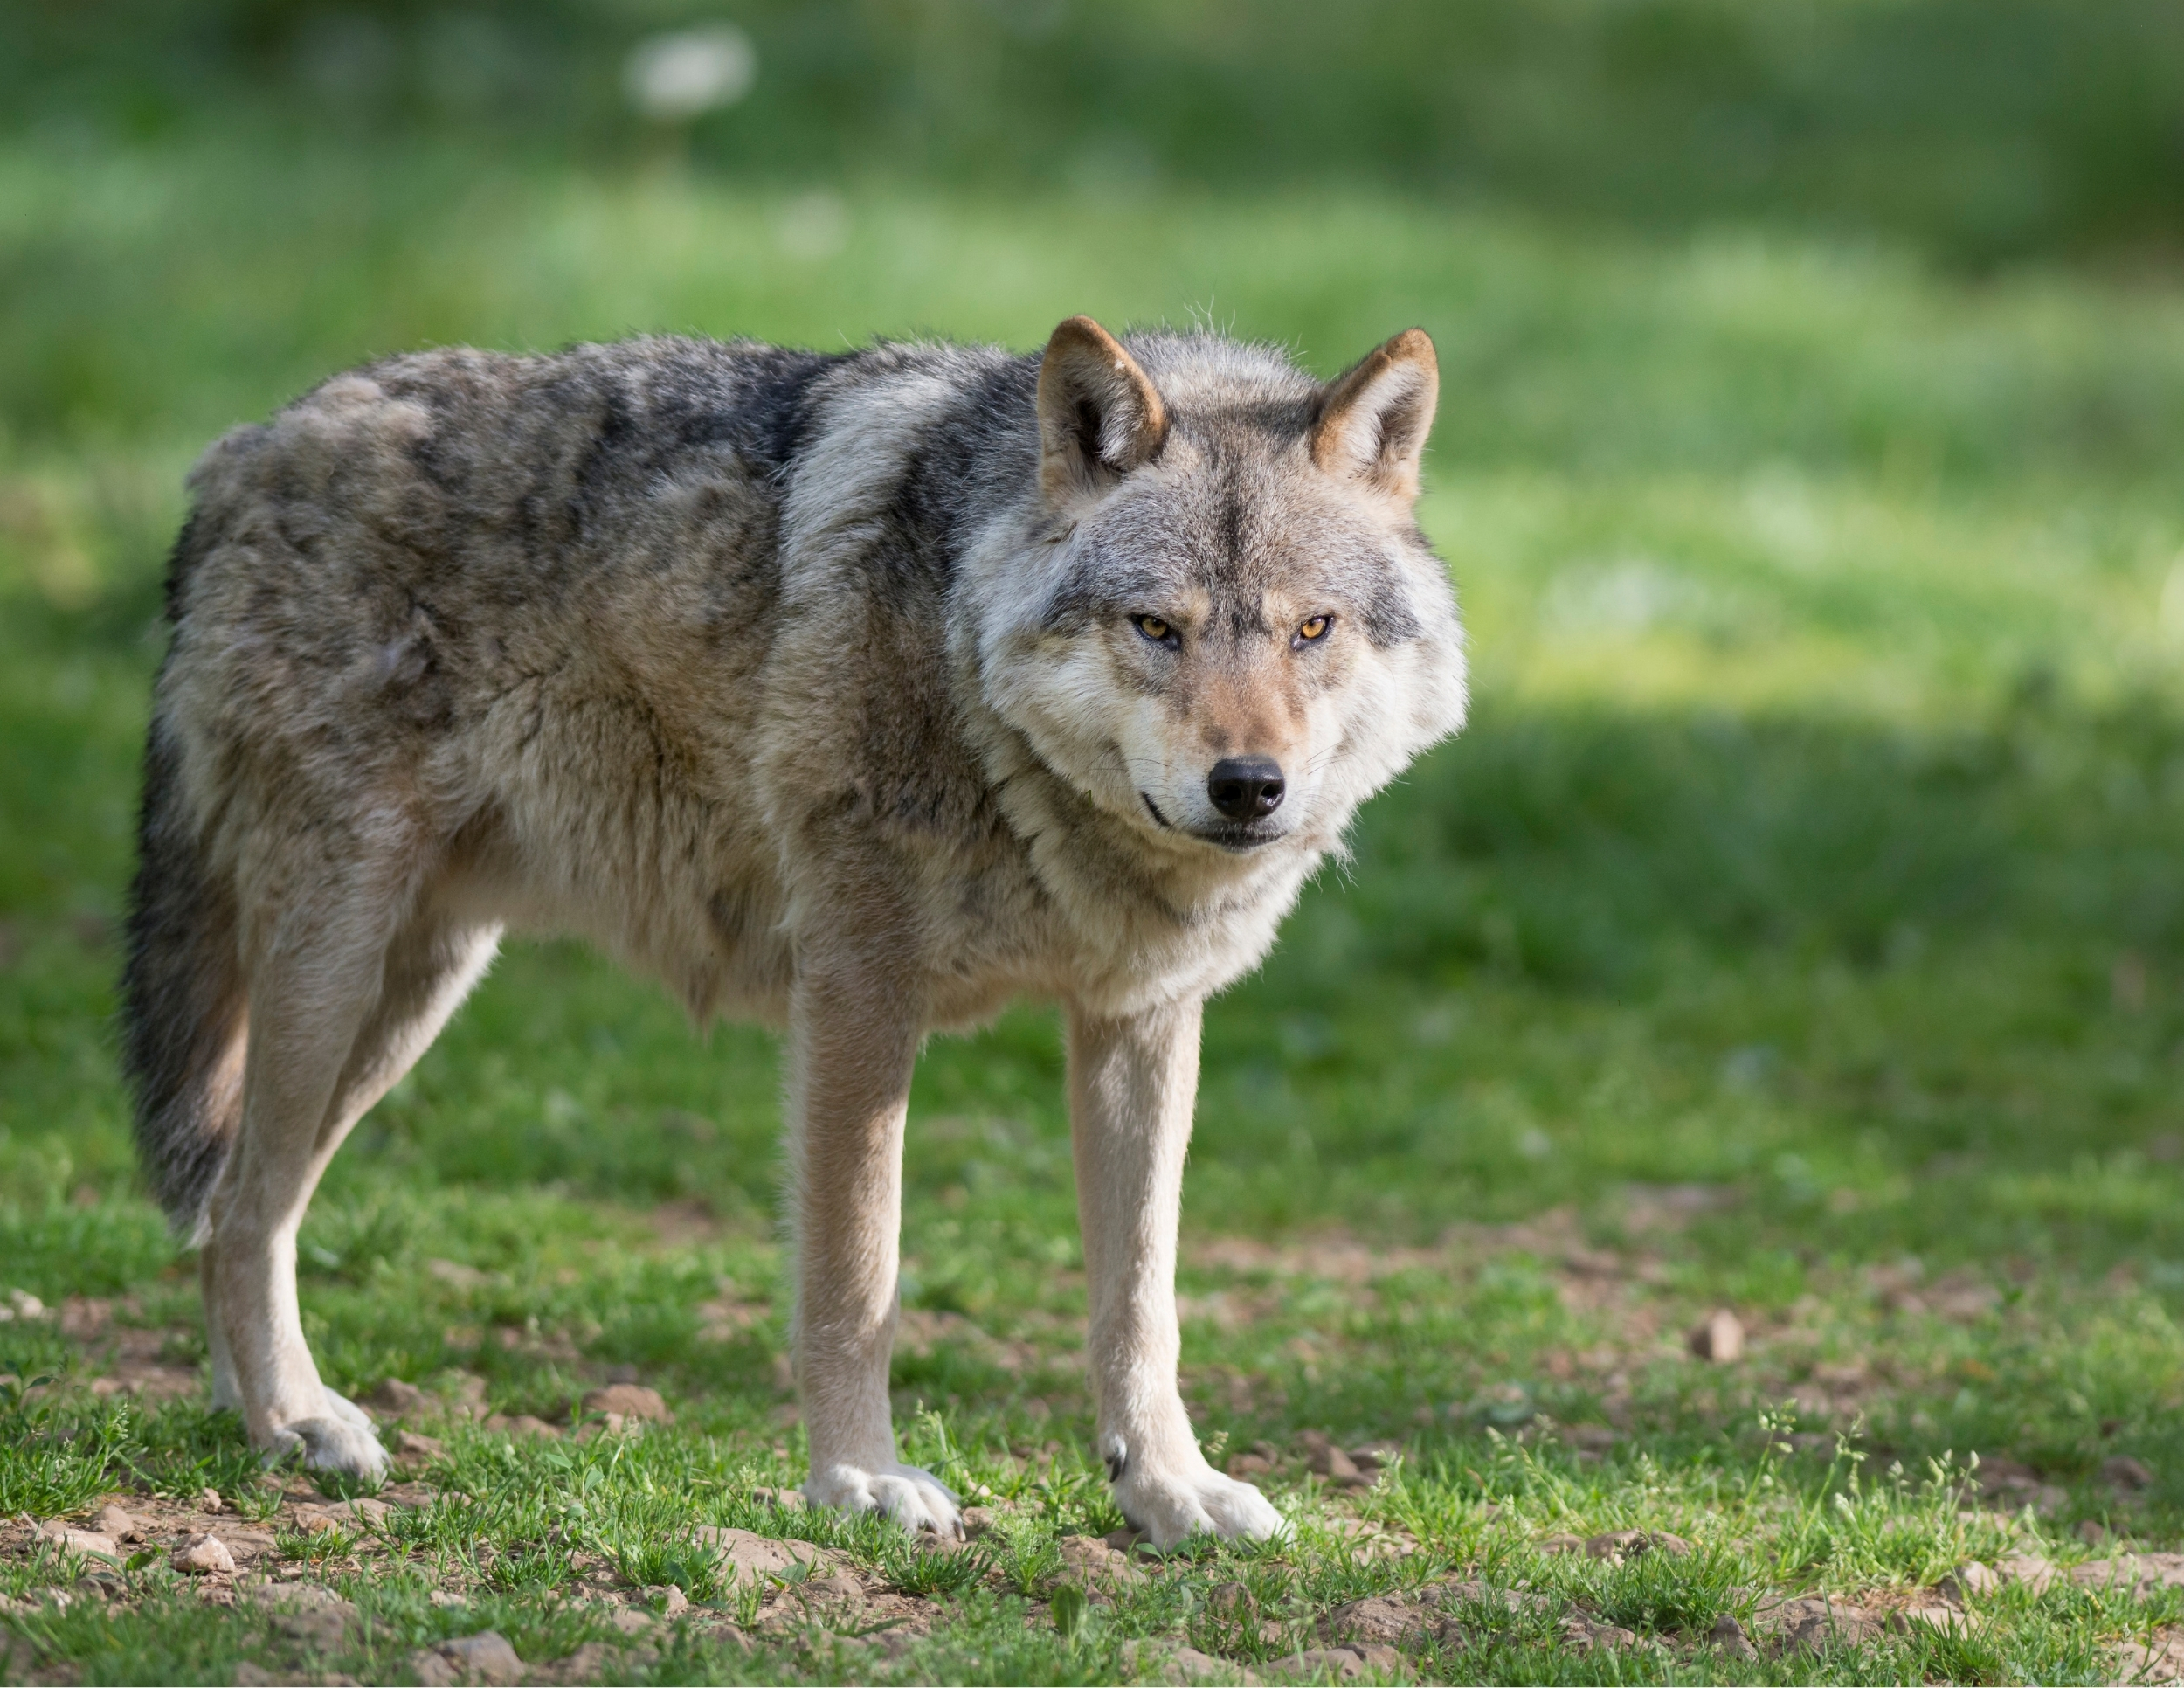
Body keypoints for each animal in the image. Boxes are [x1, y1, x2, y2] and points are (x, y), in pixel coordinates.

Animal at [120, 315, 1466, 1545]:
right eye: (1156, 628)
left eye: (1310, 630)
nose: (1249, 788)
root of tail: (243, 450)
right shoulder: (858, 993)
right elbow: (856, 1274)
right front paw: (859, 1482)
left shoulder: (1138, 1019)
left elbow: (1142, 1299)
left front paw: (1170, 1491)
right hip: (340, 970)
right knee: (242, 1206)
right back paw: (294, 1419)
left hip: (412, 993)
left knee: (238, 1204)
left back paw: (254, 1418)